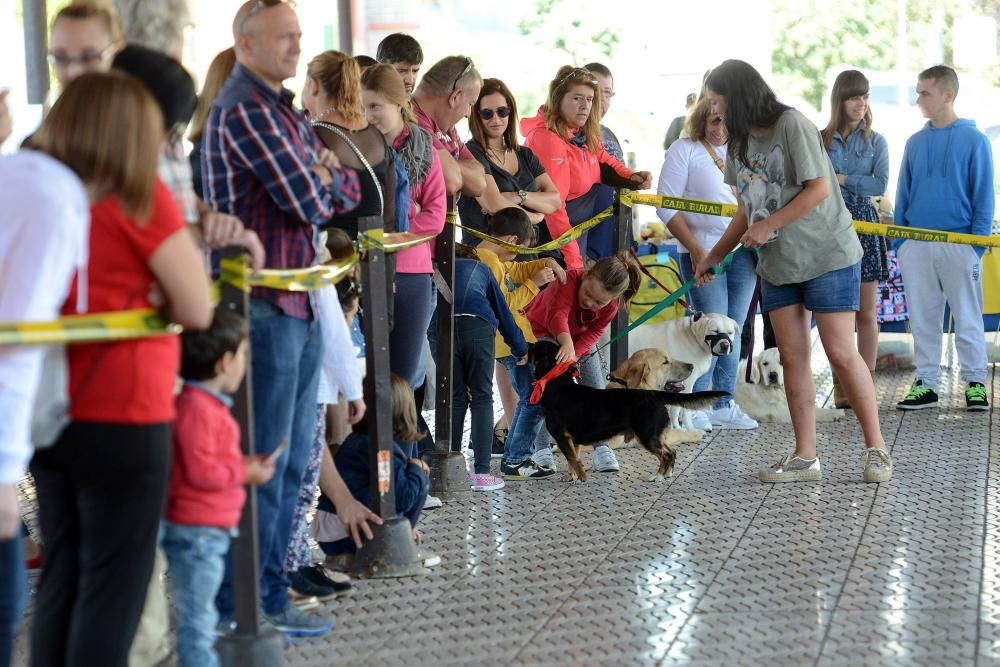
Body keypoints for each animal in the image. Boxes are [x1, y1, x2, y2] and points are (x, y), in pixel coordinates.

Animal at [532, 342, 728, 482]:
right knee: (670, 452)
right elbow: (572, 459)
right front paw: (571, 476)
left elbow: (573, 460)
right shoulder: (571, 440)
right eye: (665, 362)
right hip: (650, 436)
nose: (691, 366)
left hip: (647, 436)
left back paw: (658, 476)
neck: (559, 386)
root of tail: (653, 394)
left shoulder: (563, 437)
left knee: (667, 454)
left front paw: (580, 476)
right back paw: (665, 474)